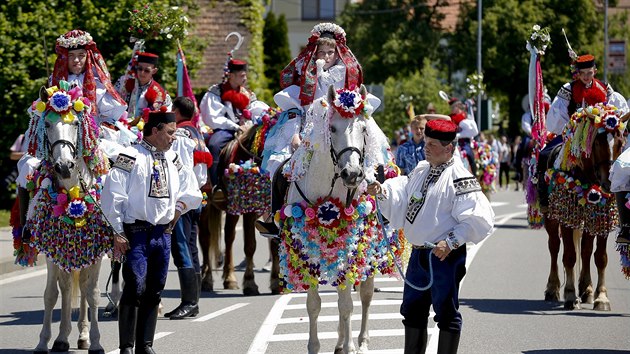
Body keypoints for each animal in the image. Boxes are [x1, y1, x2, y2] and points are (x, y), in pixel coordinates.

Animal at [23, 83, 113, 354]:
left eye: (75, 124)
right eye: (47, 124)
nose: (64, 166)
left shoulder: (95, 250)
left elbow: (93, 293)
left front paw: (96, 342)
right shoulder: (52, 249)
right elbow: (51, 294)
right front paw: (44, 341)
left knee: (83, 287)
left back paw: (83, 336)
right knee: (67, 288)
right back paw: (64, 338)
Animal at [198, 125, 282, 296]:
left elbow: (274, 243)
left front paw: (276, 282)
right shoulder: (249, 211)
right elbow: (250, 245)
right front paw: (250, 283)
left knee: (229, 237)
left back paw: (229, 278)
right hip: (206, 205)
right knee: (205, 239)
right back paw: (207, 279)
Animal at [278, 84, 398, 352]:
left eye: (363, 129)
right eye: (331, 128)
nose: (352, 174)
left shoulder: (349, 246)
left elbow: (347, 305)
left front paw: (351, 347)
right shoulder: (305, 249)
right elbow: (314, 305)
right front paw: (315, 346)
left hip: (371, 249)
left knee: (365, 295)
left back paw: (361, 341)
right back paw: (341, 341)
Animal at [544, 108, 628, 310]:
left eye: (621, 142)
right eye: (596, 142)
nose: (609, 182)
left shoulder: (601, 219)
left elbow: (600, 257)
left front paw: (601, 297)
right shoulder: (566, 218)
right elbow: (569, 255)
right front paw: (569, 294)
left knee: (586, 250)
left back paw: (587, 289)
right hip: (550, 218)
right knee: (554, 247)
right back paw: (553, 288)